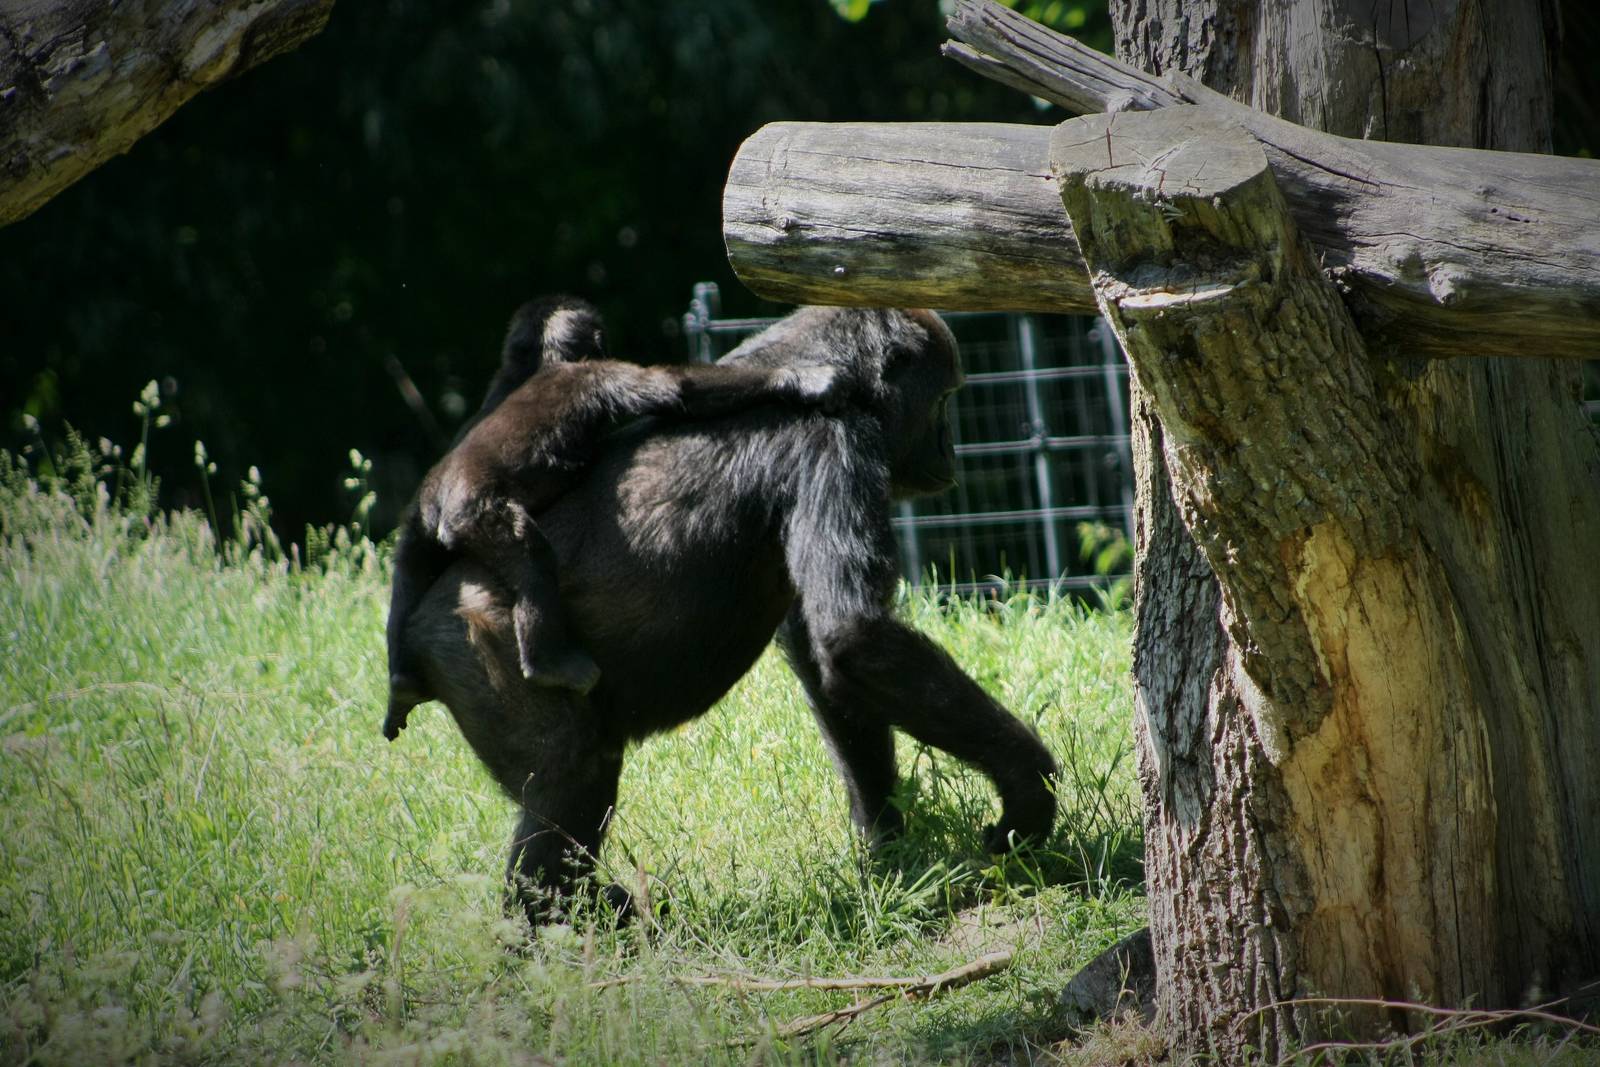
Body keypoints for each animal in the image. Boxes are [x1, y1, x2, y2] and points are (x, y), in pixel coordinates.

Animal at [382, 297, 847, 742]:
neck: (546, 365)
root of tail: (437, 508)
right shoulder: (600, 375)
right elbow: (678, 389)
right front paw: (797, 380)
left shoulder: (506, 381)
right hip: (479, 516)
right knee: (531, 560)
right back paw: (546, 663)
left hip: (423, 529)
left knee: (407, 576)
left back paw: (400, 687)